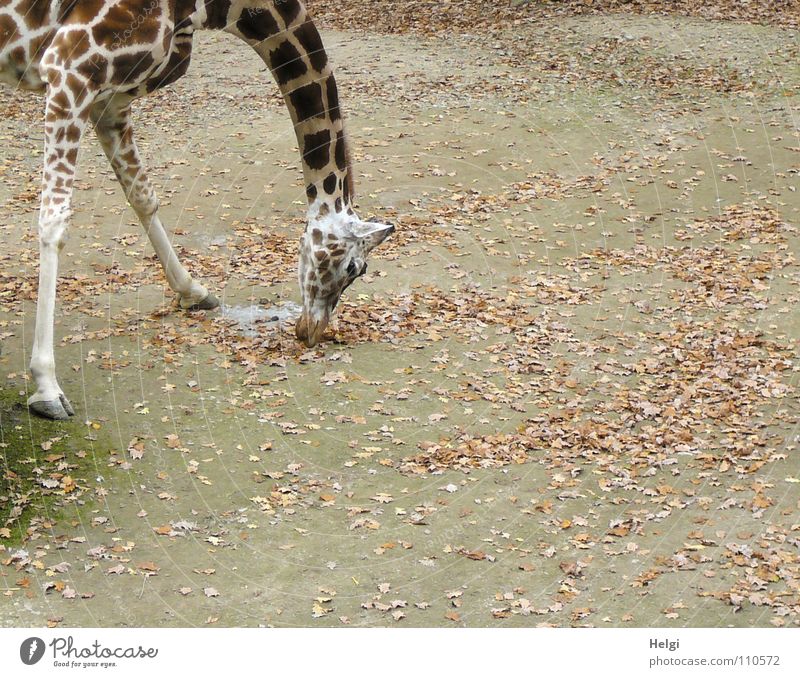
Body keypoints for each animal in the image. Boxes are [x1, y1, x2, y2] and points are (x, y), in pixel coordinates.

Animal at [0, 2, 394, 420]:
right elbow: (53, 223)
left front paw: (193, 291)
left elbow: (142, 194)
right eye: (353, 268)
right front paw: (46, 386)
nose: (312, 332)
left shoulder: (110, 99)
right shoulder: (69, 71)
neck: (206, 10)